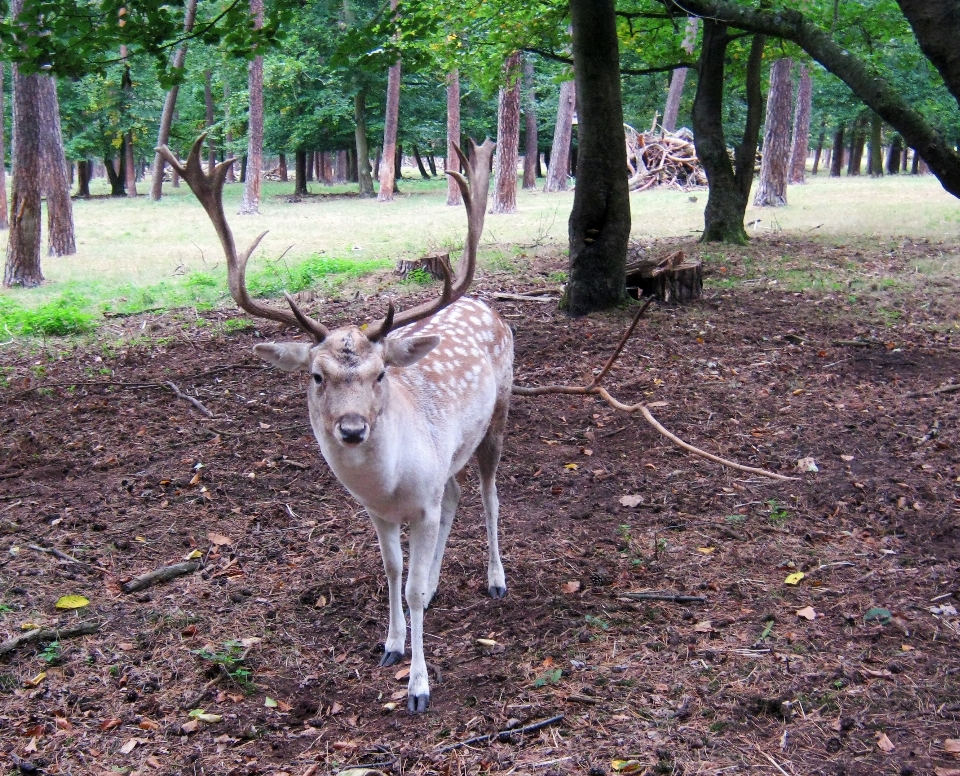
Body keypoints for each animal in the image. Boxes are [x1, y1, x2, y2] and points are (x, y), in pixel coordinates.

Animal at [159, 138, 510, 708]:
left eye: (380, 372)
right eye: (316, 375)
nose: (351, 429)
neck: (390, 485)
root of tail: (490, 307)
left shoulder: (422, 503)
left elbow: (411, 587)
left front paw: (418, 687)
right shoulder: (380, 511)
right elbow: (393, 572)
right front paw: (391, 645)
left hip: (500, 413)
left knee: (490, 493)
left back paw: (496, 579)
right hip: (450, 461)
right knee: (457, 494)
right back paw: (439, 584)